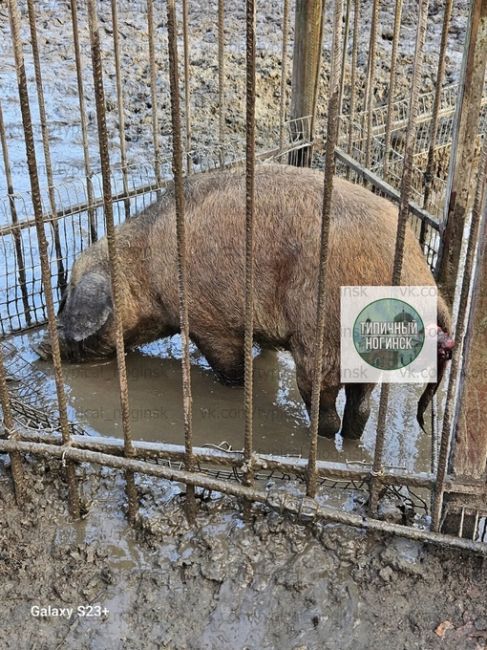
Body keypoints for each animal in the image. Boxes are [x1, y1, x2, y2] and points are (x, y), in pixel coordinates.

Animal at [38, 162, 454, 438]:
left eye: (66, 297)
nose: (41, 347)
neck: (147, 268)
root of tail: (423, 282)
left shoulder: (210, 323)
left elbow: (231, 367)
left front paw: (233, 387)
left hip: (327, 336)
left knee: (326, 404)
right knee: (361, 408)